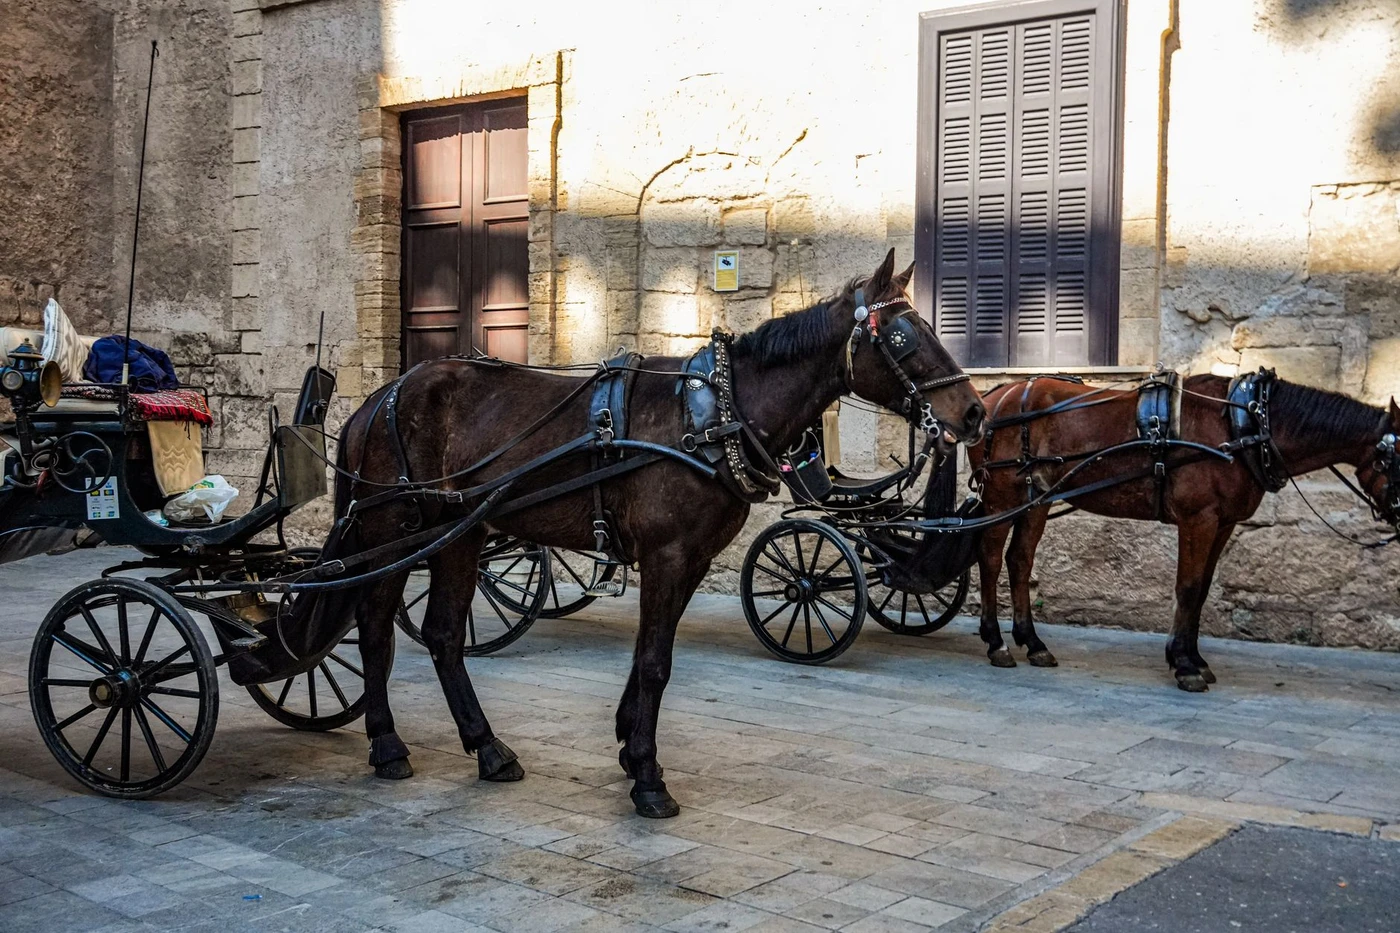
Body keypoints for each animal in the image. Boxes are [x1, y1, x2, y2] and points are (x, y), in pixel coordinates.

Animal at [283, 250, 984, 817]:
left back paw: (487, 748)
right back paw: (387, 742)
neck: (716, 415)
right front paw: (648, 777)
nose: (974, 413)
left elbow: (654, 656)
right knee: (376, 628)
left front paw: (628, 746)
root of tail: (377, 400)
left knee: (443, 636)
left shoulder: (691, 560)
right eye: (902, 336)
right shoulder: (667, 555)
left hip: (458, 534)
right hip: (395, 529)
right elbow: (653, 662)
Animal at [967, 372, 1400, 691]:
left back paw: (1032, 642)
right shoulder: (1199, 518)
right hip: (1003, 498)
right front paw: (1185, 665)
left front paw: (1192, 658)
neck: (1246, 424)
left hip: (1036, 499)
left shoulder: (1223, 522)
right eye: (1397, 457)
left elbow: (1203, 589)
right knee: (989, 558)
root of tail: (995, 398)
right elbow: (1188, 588)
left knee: (1019, 561)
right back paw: (996, 641)